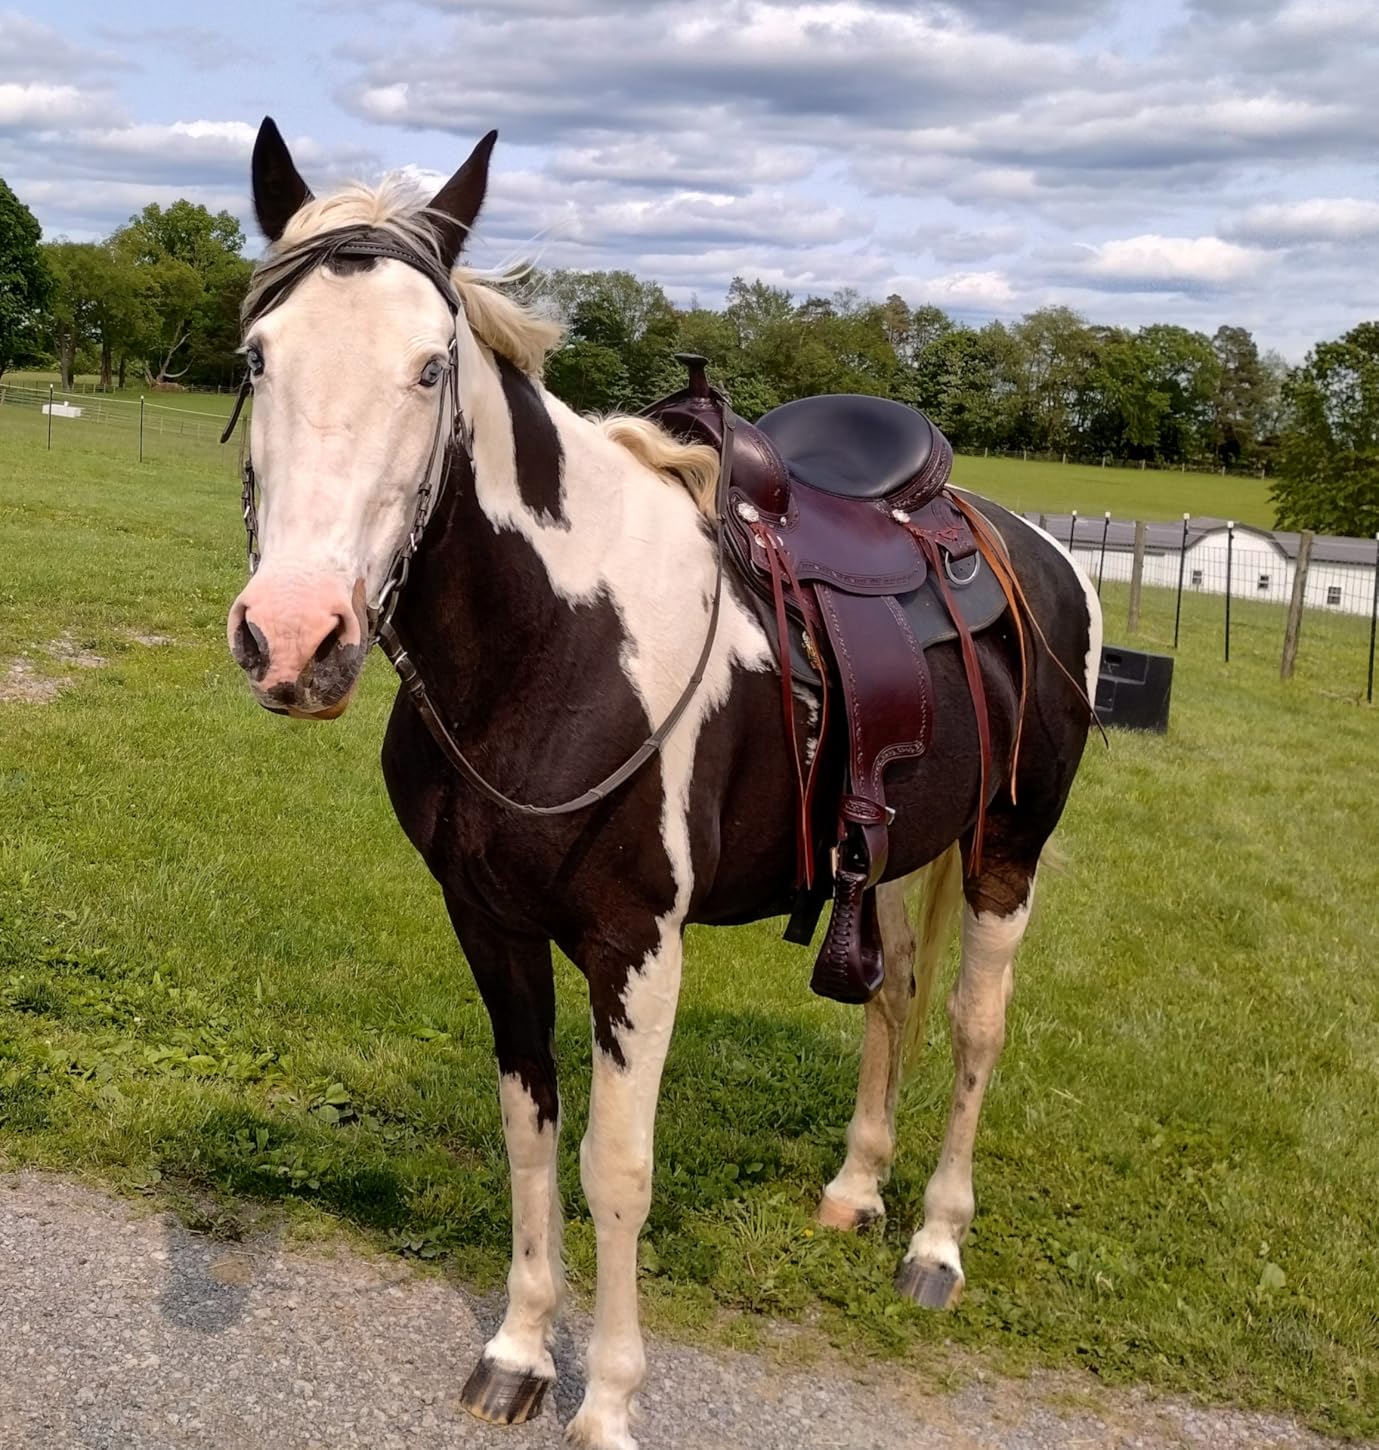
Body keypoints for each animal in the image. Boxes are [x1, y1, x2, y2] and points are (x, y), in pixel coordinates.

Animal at [224, 118, 1102, 1450]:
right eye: (258, 357)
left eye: (431, 369)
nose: (293, 639)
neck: (553, 639)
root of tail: (1041, 549)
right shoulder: (487, 922)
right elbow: (529, 1131)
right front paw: (520, 1352)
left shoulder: (637, 941)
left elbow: (616, 1168)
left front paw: (606, 1404)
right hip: (898, 851)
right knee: (894, 993)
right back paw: (854, 1190)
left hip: (1009, 842)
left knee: (973, 1023)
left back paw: (935, 1244)